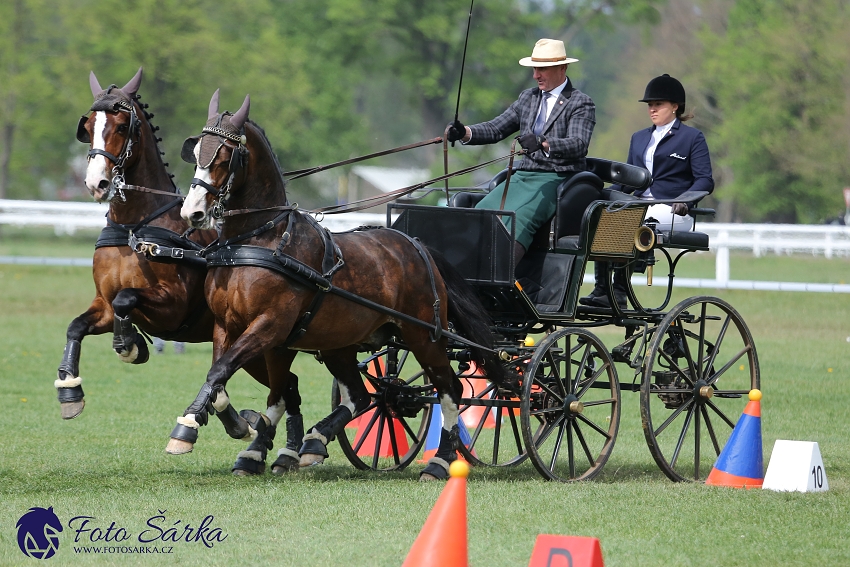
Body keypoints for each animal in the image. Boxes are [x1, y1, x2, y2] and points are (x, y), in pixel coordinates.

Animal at [56, 69, 304, 472]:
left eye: (122, 126)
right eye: (89, 125)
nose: (97, 183)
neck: (136, 227)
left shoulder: (170, 308)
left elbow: (127, 299)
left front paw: (130, 346)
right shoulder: (103, 306)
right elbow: (77, 325)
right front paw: (70, 390)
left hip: (263, 341)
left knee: (286, 389)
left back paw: (288, 448)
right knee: (288, 387)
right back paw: (270, 446)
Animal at [169, 92, 506, 480]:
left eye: (225, 157)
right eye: (196, 153)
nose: (192, 212)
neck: (259, 239)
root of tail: (418, 246)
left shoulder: (269, 327)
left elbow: (225, 373)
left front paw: (190, 429)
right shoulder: (234, 328)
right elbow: (235, 382)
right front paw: (247, 437)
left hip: (423, 336)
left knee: (450, 387)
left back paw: (439, 461)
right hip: (339, 343)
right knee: (362, 396)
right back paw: (314, 442)